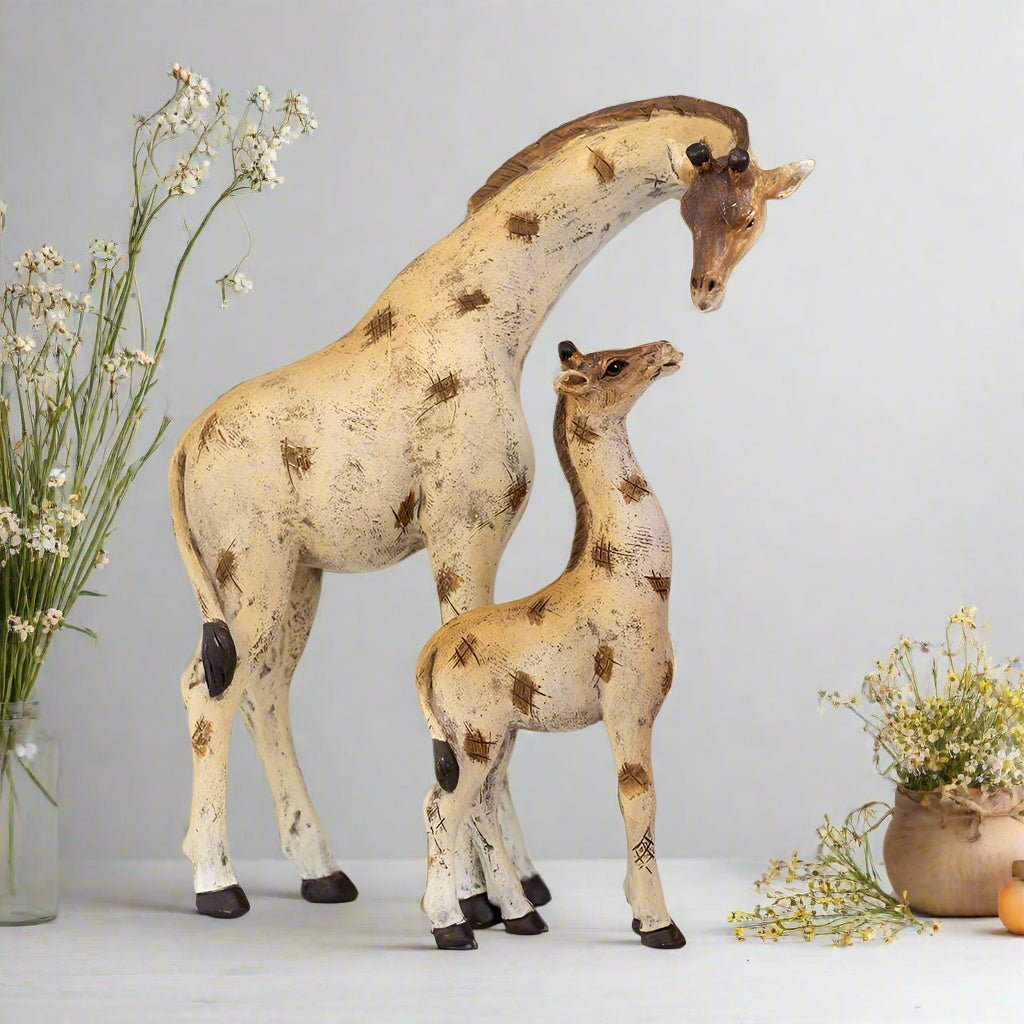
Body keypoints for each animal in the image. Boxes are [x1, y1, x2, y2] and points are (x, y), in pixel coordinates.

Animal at [417, 339, 685, 950]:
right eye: (614, 366)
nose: (666, 349)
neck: (635, 582)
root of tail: (430, 655)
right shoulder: (628, 705)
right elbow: (639, 798)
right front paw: (659, 925)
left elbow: (627, 801)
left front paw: (634, 908)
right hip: (475, 736)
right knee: (441, 808)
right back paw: (452, 929)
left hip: (497, 735)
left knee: (481, 805)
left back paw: (522, 917)